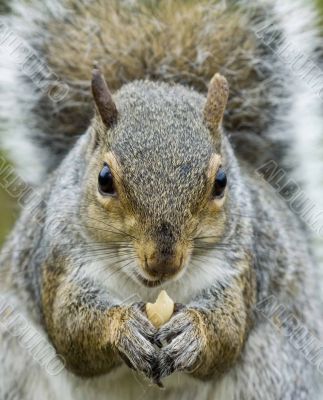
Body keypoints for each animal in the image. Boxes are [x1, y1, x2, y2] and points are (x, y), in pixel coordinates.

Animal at [0, 0, 323, 400]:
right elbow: (70, 328)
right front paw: (123, 326)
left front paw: (194, 333)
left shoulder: (241, 266)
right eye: (104, 180)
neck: (150, 289)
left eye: (221, 182)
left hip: (277, 371)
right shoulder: (58, 259)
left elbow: (228, 332)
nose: (164, 260)